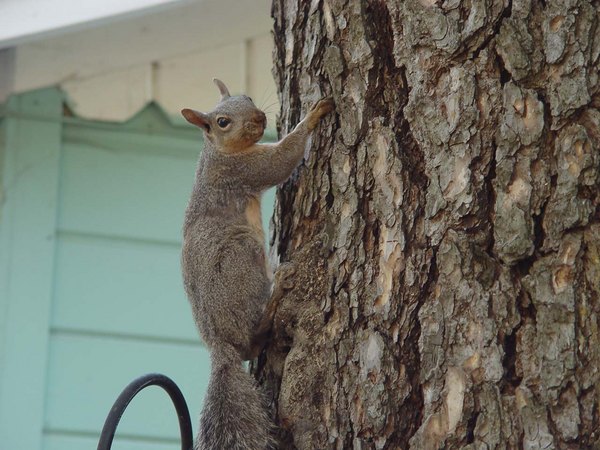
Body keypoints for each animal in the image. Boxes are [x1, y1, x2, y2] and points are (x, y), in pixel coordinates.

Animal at [180, 79, 336, 448]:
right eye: (222, 122)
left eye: (248, 97)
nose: (260, 117)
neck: (217, 152)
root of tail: (220, 344)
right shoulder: (242, 172)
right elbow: (280, 160)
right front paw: (312, 116)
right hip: (242, 253)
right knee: (257, 332)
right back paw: (277, 289)